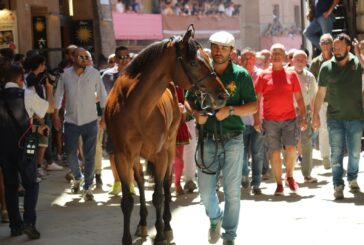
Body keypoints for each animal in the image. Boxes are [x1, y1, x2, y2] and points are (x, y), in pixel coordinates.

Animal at [103, 25, 228, 245]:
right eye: (194, 62)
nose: (222, 95)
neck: (136, 108)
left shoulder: (160, 154)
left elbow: (159, 196)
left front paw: (161, 234)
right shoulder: (122, 156)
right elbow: (127, 200)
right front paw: (127, 237)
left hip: (169, 148)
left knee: (167, 186)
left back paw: (167, 226)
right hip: (137, 157)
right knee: (141, 183)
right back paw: (143, 224)